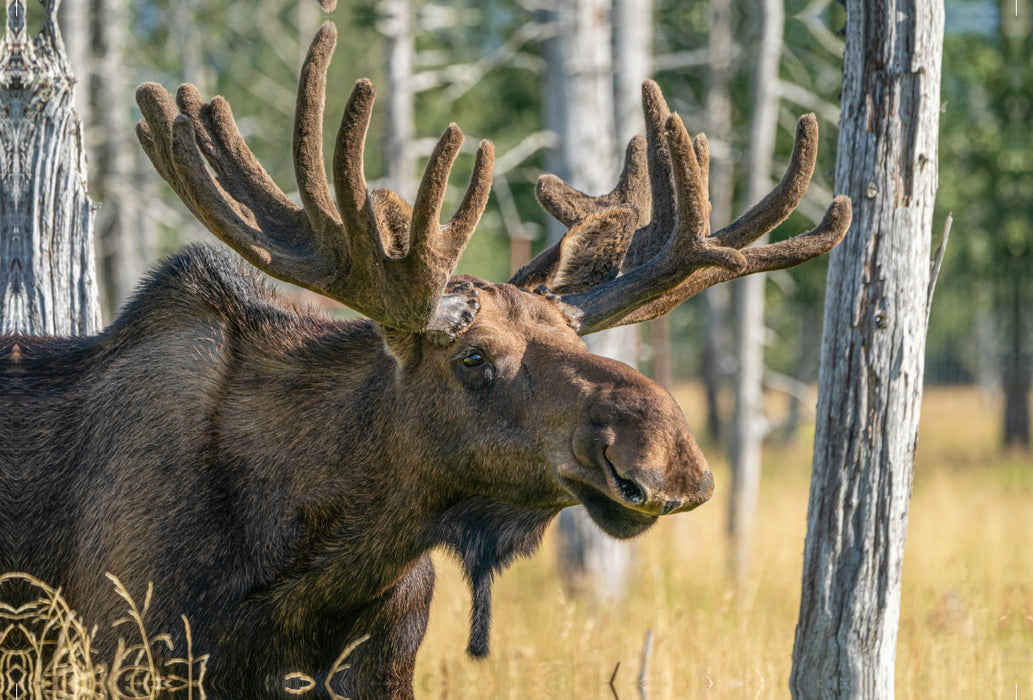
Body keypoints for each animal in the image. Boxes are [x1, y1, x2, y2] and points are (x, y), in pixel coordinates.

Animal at [0, 21, 851, 700]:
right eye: (473, 356)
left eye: (579, 342)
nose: (667, 457)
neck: (314, 571)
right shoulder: (127, 656)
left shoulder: (381, 670)